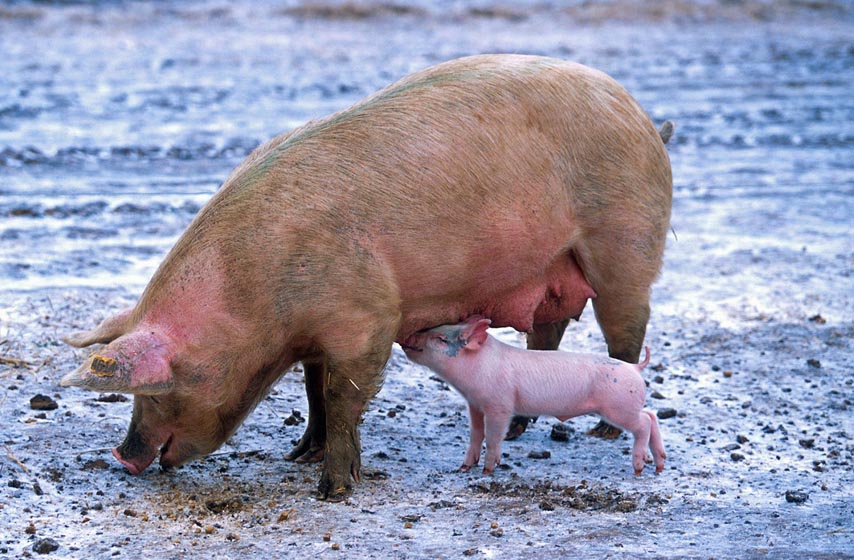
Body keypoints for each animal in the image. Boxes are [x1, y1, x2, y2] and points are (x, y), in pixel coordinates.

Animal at [402, 318, 668, 474]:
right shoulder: (475, 404)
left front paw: (488, 471)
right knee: (651, 415)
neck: (478, 366)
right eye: (434, 329)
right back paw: (659, 465)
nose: (407, 337)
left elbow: (494, 436)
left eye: (440, 339)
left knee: (644, 423)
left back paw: (639, 467)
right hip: (627, 405)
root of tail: (635, 368)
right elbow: (476, 434)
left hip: (619, 407)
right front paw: (464, 467)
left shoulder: (500, 404)